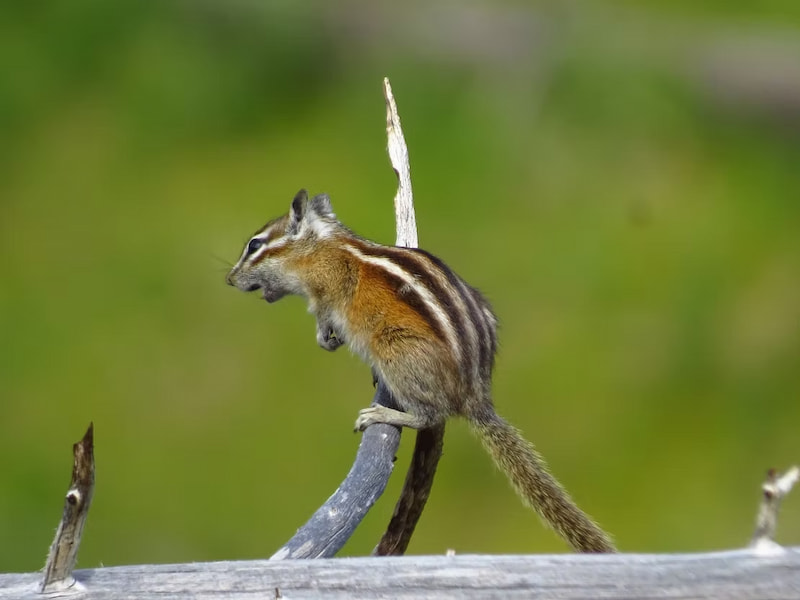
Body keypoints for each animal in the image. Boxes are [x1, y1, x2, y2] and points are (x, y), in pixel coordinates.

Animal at [226, 189, 615, 553]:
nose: (230, 279)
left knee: (431, 414)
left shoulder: (327, 291)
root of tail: (475, 395)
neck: (324, 246)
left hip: (396, 349)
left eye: (255, 245)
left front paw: (326, 338)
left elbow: (323, 314)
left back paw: (384, 413)